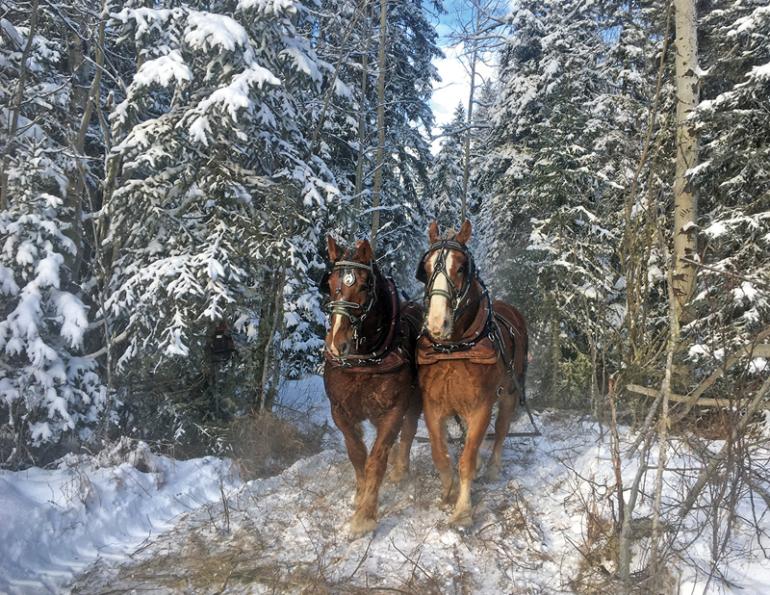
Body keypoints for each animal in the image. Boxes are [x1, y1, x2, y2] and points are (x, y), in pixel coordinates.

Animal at [321, 236, 423, 537]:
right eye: (330, 283)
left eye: (365, 286)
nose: (337, 344)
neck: (364, 361)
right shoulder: (340, 411)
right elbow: (357, 454)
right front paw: (360, 493)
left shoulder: (393, 410)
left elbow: (377, 459)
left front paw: (365, 516)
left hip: (414, 402)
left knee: (408, 432)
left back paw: (400, 470)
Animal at [414, 220, 528, 527]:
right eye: (426, 268)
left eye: (461, 267)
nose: (437, 323)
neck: (454, 350)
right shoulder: (433, 406)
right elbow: (440, 454)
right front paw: (449, 490)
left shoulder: (481, 407)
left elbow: (466, 458)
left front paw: (463, 510)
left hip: (510, 392)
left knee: (501, 429)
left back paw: (491, 468)